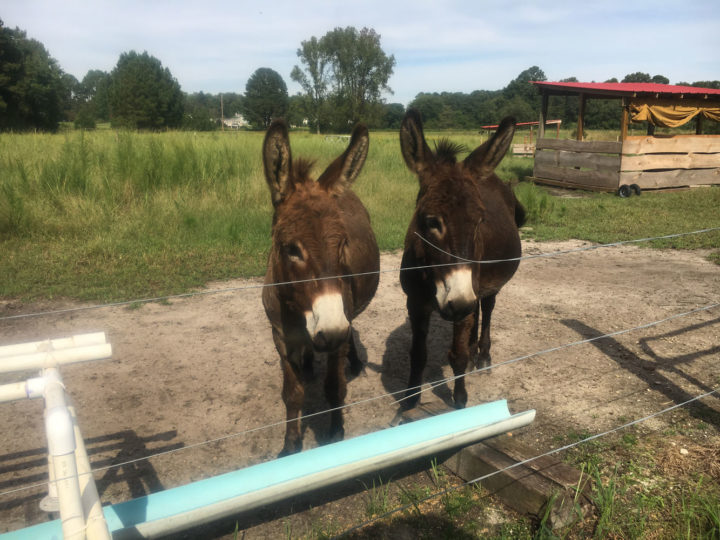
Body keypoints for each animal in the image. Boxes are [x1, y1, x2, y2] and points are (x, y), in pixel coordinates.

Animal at [261, 119, 380, 455]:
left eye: (342, 245)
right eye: (291, 249)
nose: (331, 330)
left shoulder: (337, 329)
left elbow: (335, 388)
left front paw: (336, 432)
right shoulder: (281, 337)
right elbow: (292, 394)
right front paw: (290, 446)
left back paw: (353, 361)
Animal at [397, 109, 526, 410]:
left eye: (479, 221)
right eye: (430, 221)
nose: (458, 302)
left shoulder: (466, 294)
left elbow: (457, 356)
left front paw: (459, 400)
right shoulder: (415, 302)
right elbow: (417, 354)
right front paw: (410, 400)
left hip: (486, 284)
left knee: (486, 308)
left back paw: (483, 356)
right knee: (476, 309)